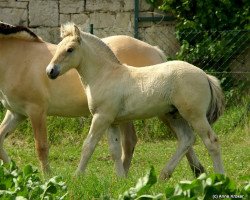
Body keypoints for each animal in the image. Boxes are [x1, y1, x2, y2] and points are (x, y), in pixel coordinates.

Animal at [0, 22, 203, 177]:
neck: (19, 59)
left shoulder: (37, 111)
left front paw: (47, 177)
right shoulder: (16, 113)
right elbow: (1, 139)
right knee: (133, 142)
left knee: (180, 138)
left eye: (69, 49)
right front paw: (14, 171)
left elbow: (41, 147)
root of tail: (155, 51)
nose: (50, 72)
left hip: (162, 111)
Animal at [46, 23, 225, 180]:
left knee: (211, 141)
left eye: (70, 49)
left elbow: (88, 145)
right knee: (186, 139)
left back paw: (219, 177)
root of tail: (205, 75)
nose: (50, 71)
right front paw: (120, 179)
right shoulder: (112, 122)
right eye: (58, 46)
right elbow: (115, 150)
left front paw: (76, 177)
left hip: (195, 116)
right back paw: (164, 175)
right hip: (174, 115)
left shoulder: (101, 117)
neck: (105, 74)